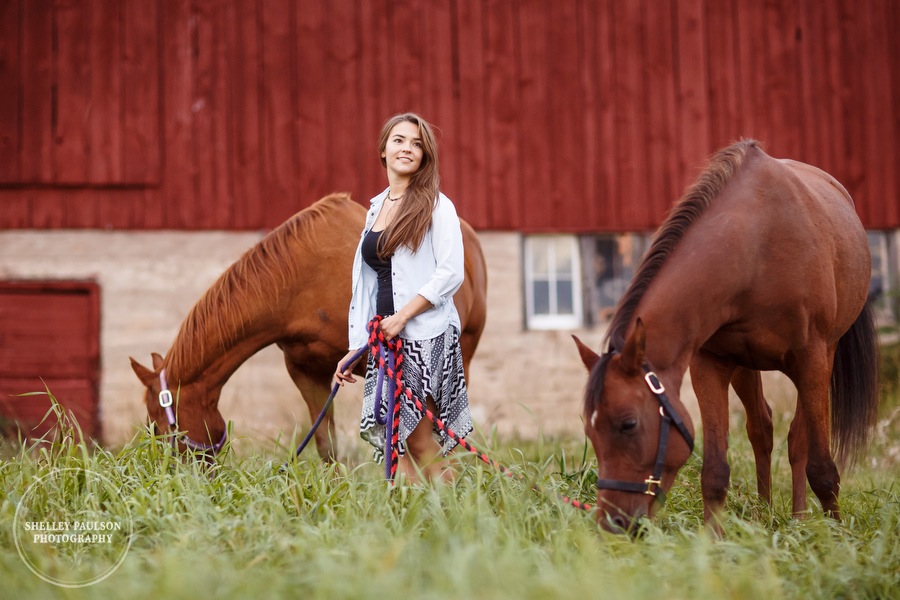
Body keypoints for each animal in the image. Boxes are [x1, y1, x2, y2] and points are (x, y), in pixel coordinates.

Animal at [572, 142, 876, 536]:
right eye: (590, 433)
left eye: (628, 424)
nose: (612, 523)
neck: (756, 247)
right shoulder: (709, 364)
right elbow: (715, 472)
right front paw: (714, 541)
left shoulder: (812, 359)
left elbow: (822, 469)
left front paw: (836, 539)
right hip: (746, 367)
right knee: (761, 428)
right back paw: (764, 514)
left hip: (821, 358)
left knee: (798, 440)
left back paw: (798, 520)